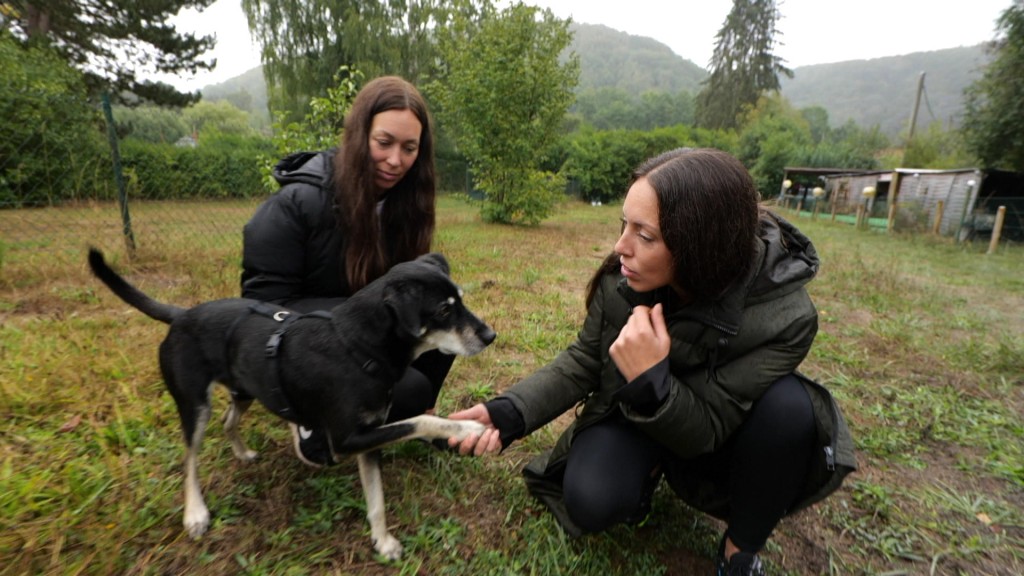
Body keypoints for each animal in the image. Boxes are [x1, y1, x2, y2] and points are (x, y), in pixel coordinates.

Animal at [88, 249, 495, 557]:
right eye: (443, 311)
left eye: (459, 300)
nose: (490, 335)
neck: (357, 346)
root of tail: (181, 314)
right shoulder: (347, 439)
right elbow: (422, 421)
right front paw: (467, 427)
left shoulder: (368, 436)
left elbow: (376, 498)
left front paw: (382, 542)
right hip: (193, 404)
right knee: (189, 458)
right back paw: (195, 513)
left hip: (245, 389)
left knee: (228, 421)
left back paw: (242, 453)